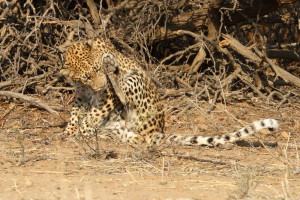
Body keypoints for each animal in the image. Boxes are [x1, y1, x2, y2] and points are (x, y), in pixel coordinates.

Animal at [59, 37, 280, 147]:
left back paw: (112, 68)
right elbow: (75, 112)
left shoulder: (106, 97)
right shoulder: (81, 94)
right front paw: (70, 130)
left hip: (135, 80)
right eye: (86, 77)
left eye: (97, 70)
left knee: (124, 92)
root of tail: (156, 131)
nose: (100, 86)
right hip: (122, 127)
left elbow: (95, 112)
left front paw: (84, 128)